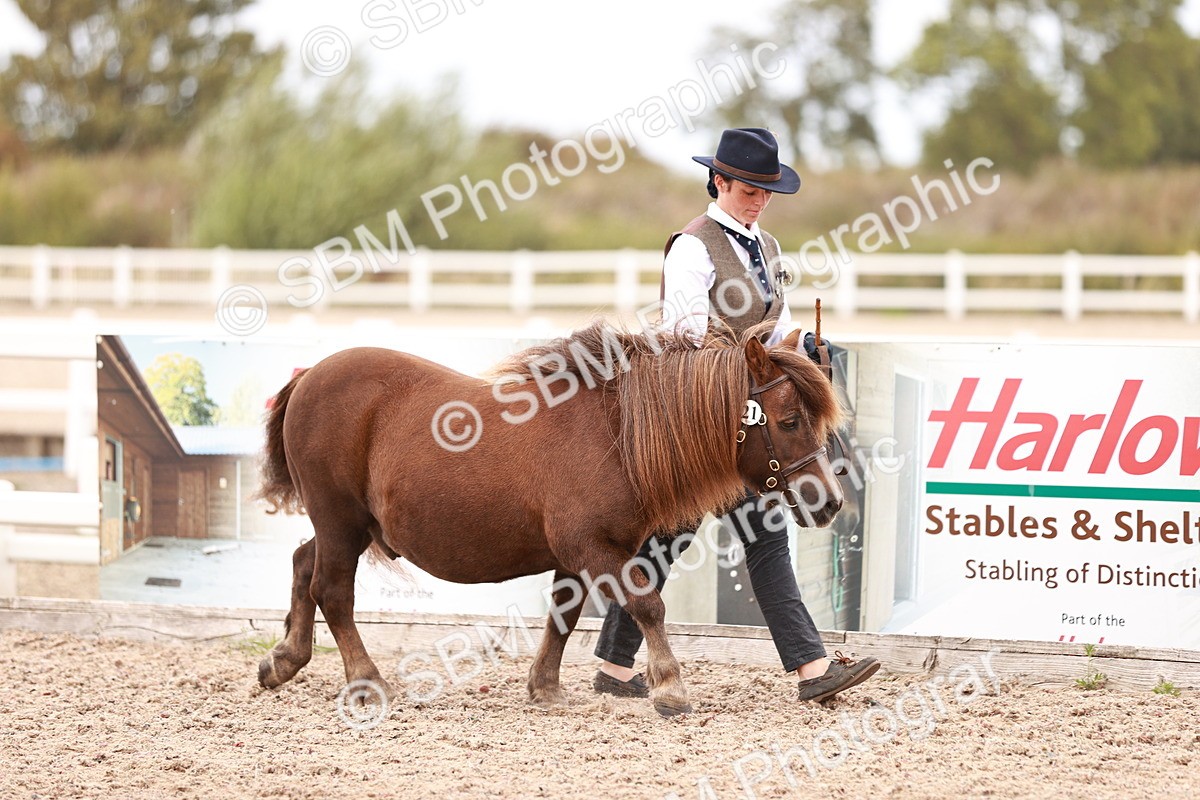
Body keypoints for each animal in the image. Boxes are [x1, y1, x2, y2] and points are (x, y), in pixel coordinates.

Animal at [255, 320, 845, 717]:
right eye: (790, 420)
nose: (831, 501)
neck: (616, 433)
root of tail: (310, 376)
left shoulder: (577, 557)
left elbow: (564, 615)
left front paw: (545, 686)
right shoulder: (594, 549)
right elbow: (647, 606)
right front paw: (670, 686)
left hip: (344, 527)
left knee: (303, 564)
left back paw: (284, 659)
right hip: (340, 520)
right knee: (332, 591)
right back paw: (365, 681)